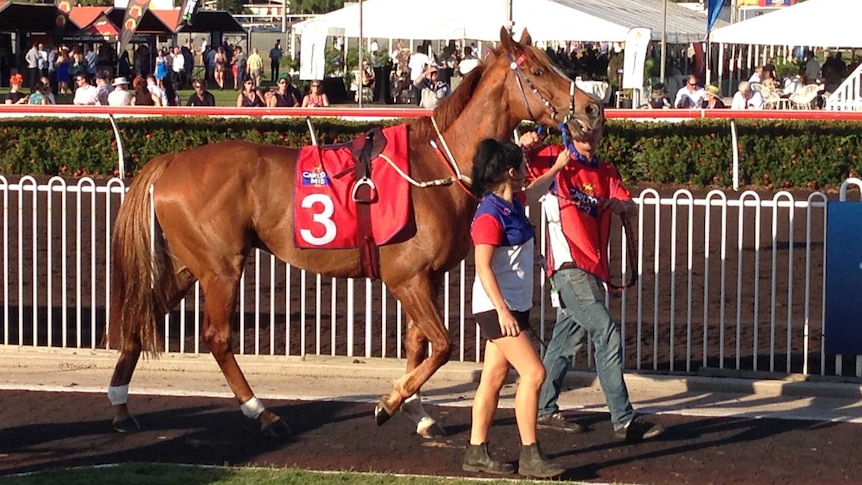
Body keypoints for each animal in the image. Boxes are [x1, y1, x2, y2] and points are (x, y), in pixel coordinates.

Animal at [106, 28, 608, 440]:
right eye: (539, 70)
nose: (592, 107)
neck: (433, 165)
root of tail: (170, 161)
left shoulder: (427, 278)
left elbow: (419, 343)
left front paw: (419, 413)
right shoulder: (406, 278)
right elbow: (443, 345)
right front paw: (389, 401)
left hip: (190, 264)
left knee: (142, 316)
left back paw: (120, 406)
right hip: (221, 268)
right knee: (217, 337)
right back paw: (263, 413)